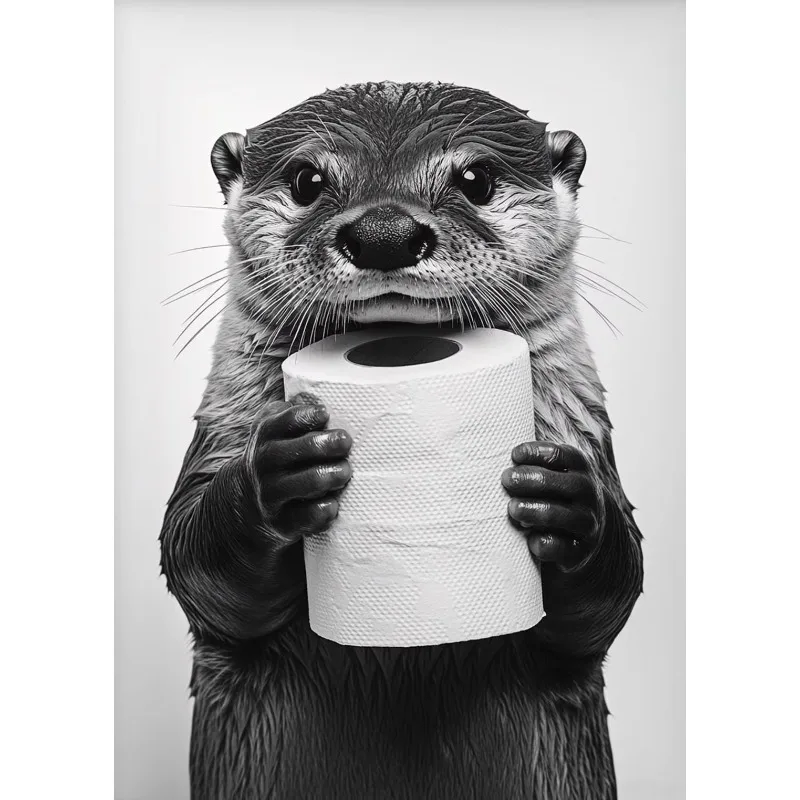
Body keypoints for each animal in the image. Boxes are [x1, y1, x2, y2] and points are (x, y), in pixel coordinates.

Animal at [160, 81, 643, 799]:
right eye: (307, 179)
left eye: (476, 178)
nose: (383, 233)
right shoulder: (220, 429)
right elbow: (197, 567)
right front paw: (277, 475)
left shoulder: (583, 425)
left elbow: (606, 602)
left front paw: (564, 501)